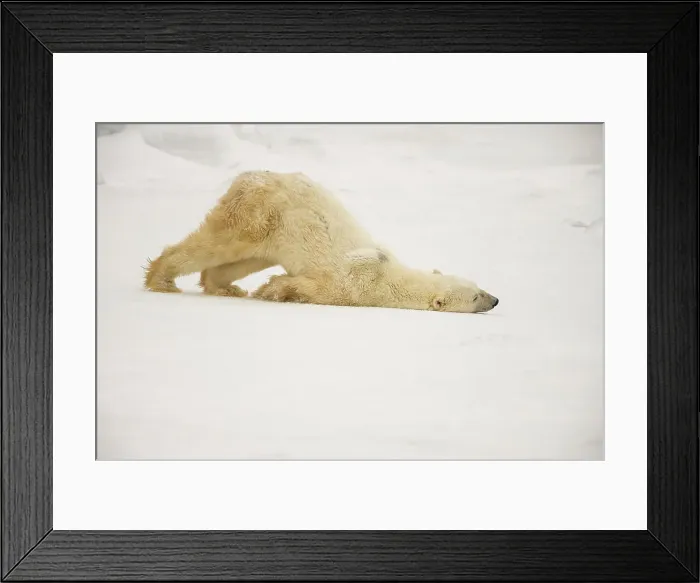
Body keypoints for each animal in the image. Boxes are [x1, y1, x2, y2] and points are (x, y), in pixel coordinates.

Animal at [144, 170, 499, 314]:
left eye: (478, 286)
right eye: (475, 296)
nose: (495, 300)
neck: (389, 277)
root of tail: (251, 175)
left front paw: (264, 290)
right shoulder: (350, 284)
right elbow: (309, 286)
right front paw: (272, 291)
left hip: (268, 232)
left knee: (241, 261)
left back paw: (226, 287)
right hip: (258, 214)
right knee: (218, 243)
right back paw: (162, 280)